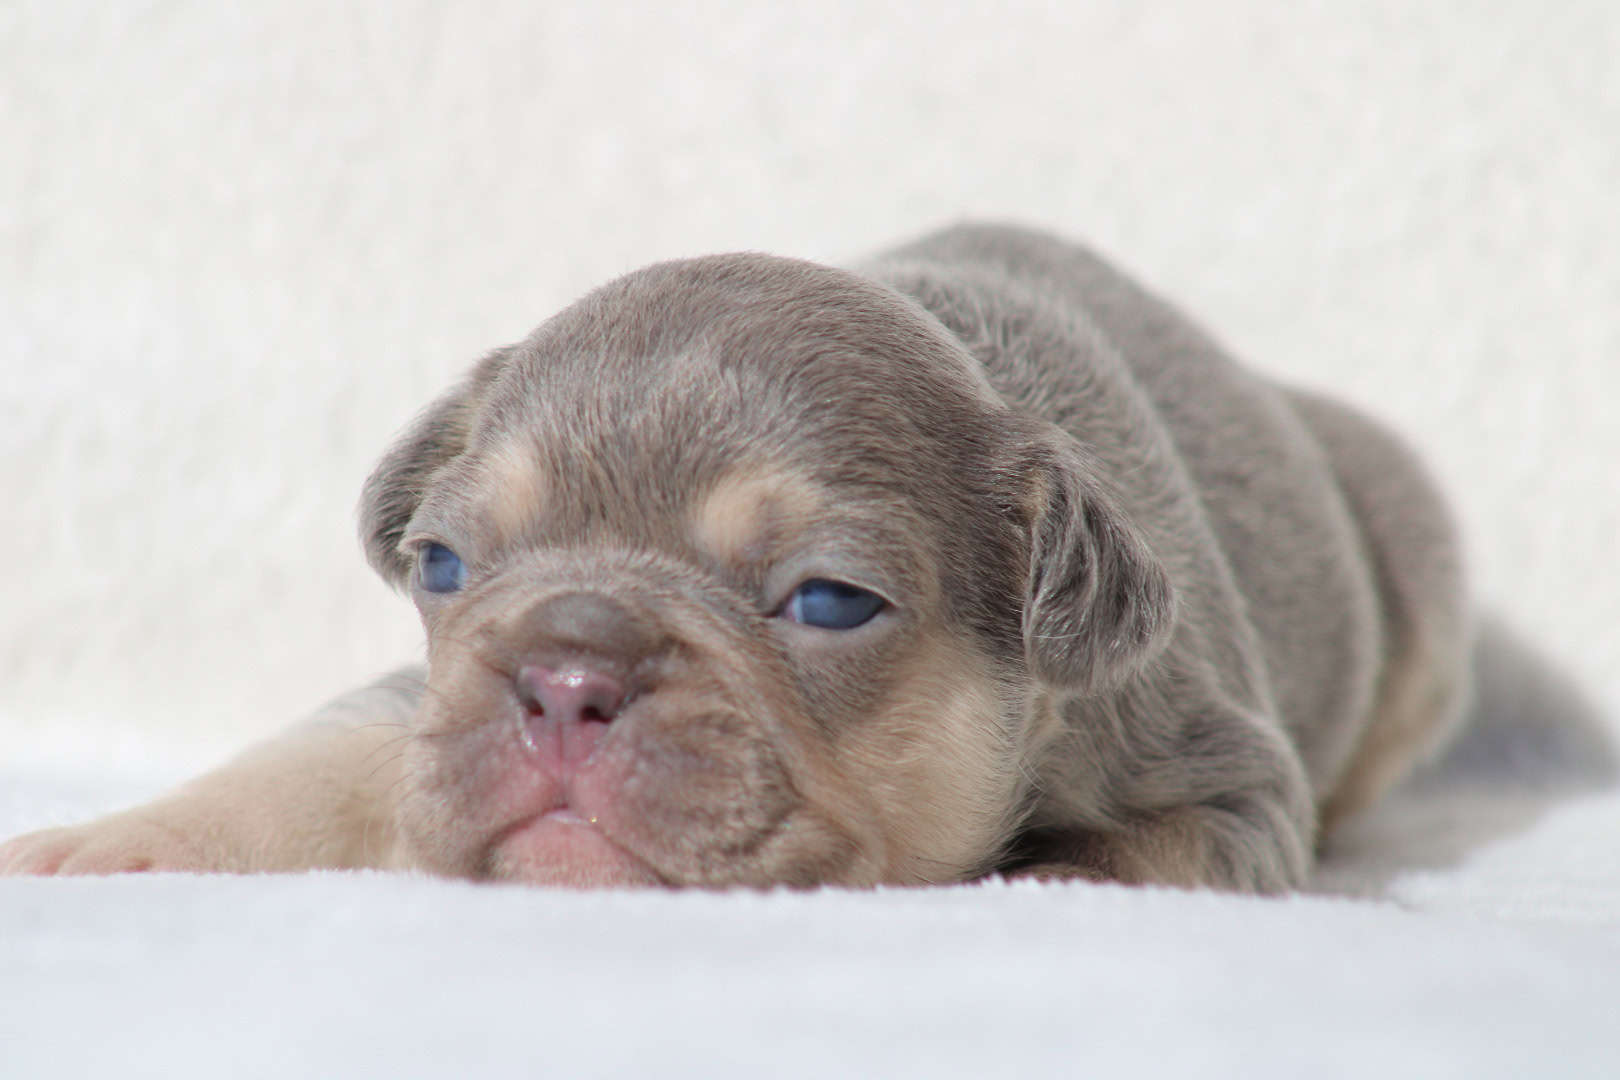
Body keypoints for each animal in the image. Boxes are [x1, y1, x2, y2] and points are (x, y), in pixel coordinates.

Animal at [0, 223, 1470, 893]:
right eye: (442, 569)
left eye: (827, 602)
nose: (564, 677)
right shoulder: (423, 708)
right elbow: (310, 761)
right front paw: (106, 848)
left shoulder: (1217, 785)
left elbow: (1100, 862)